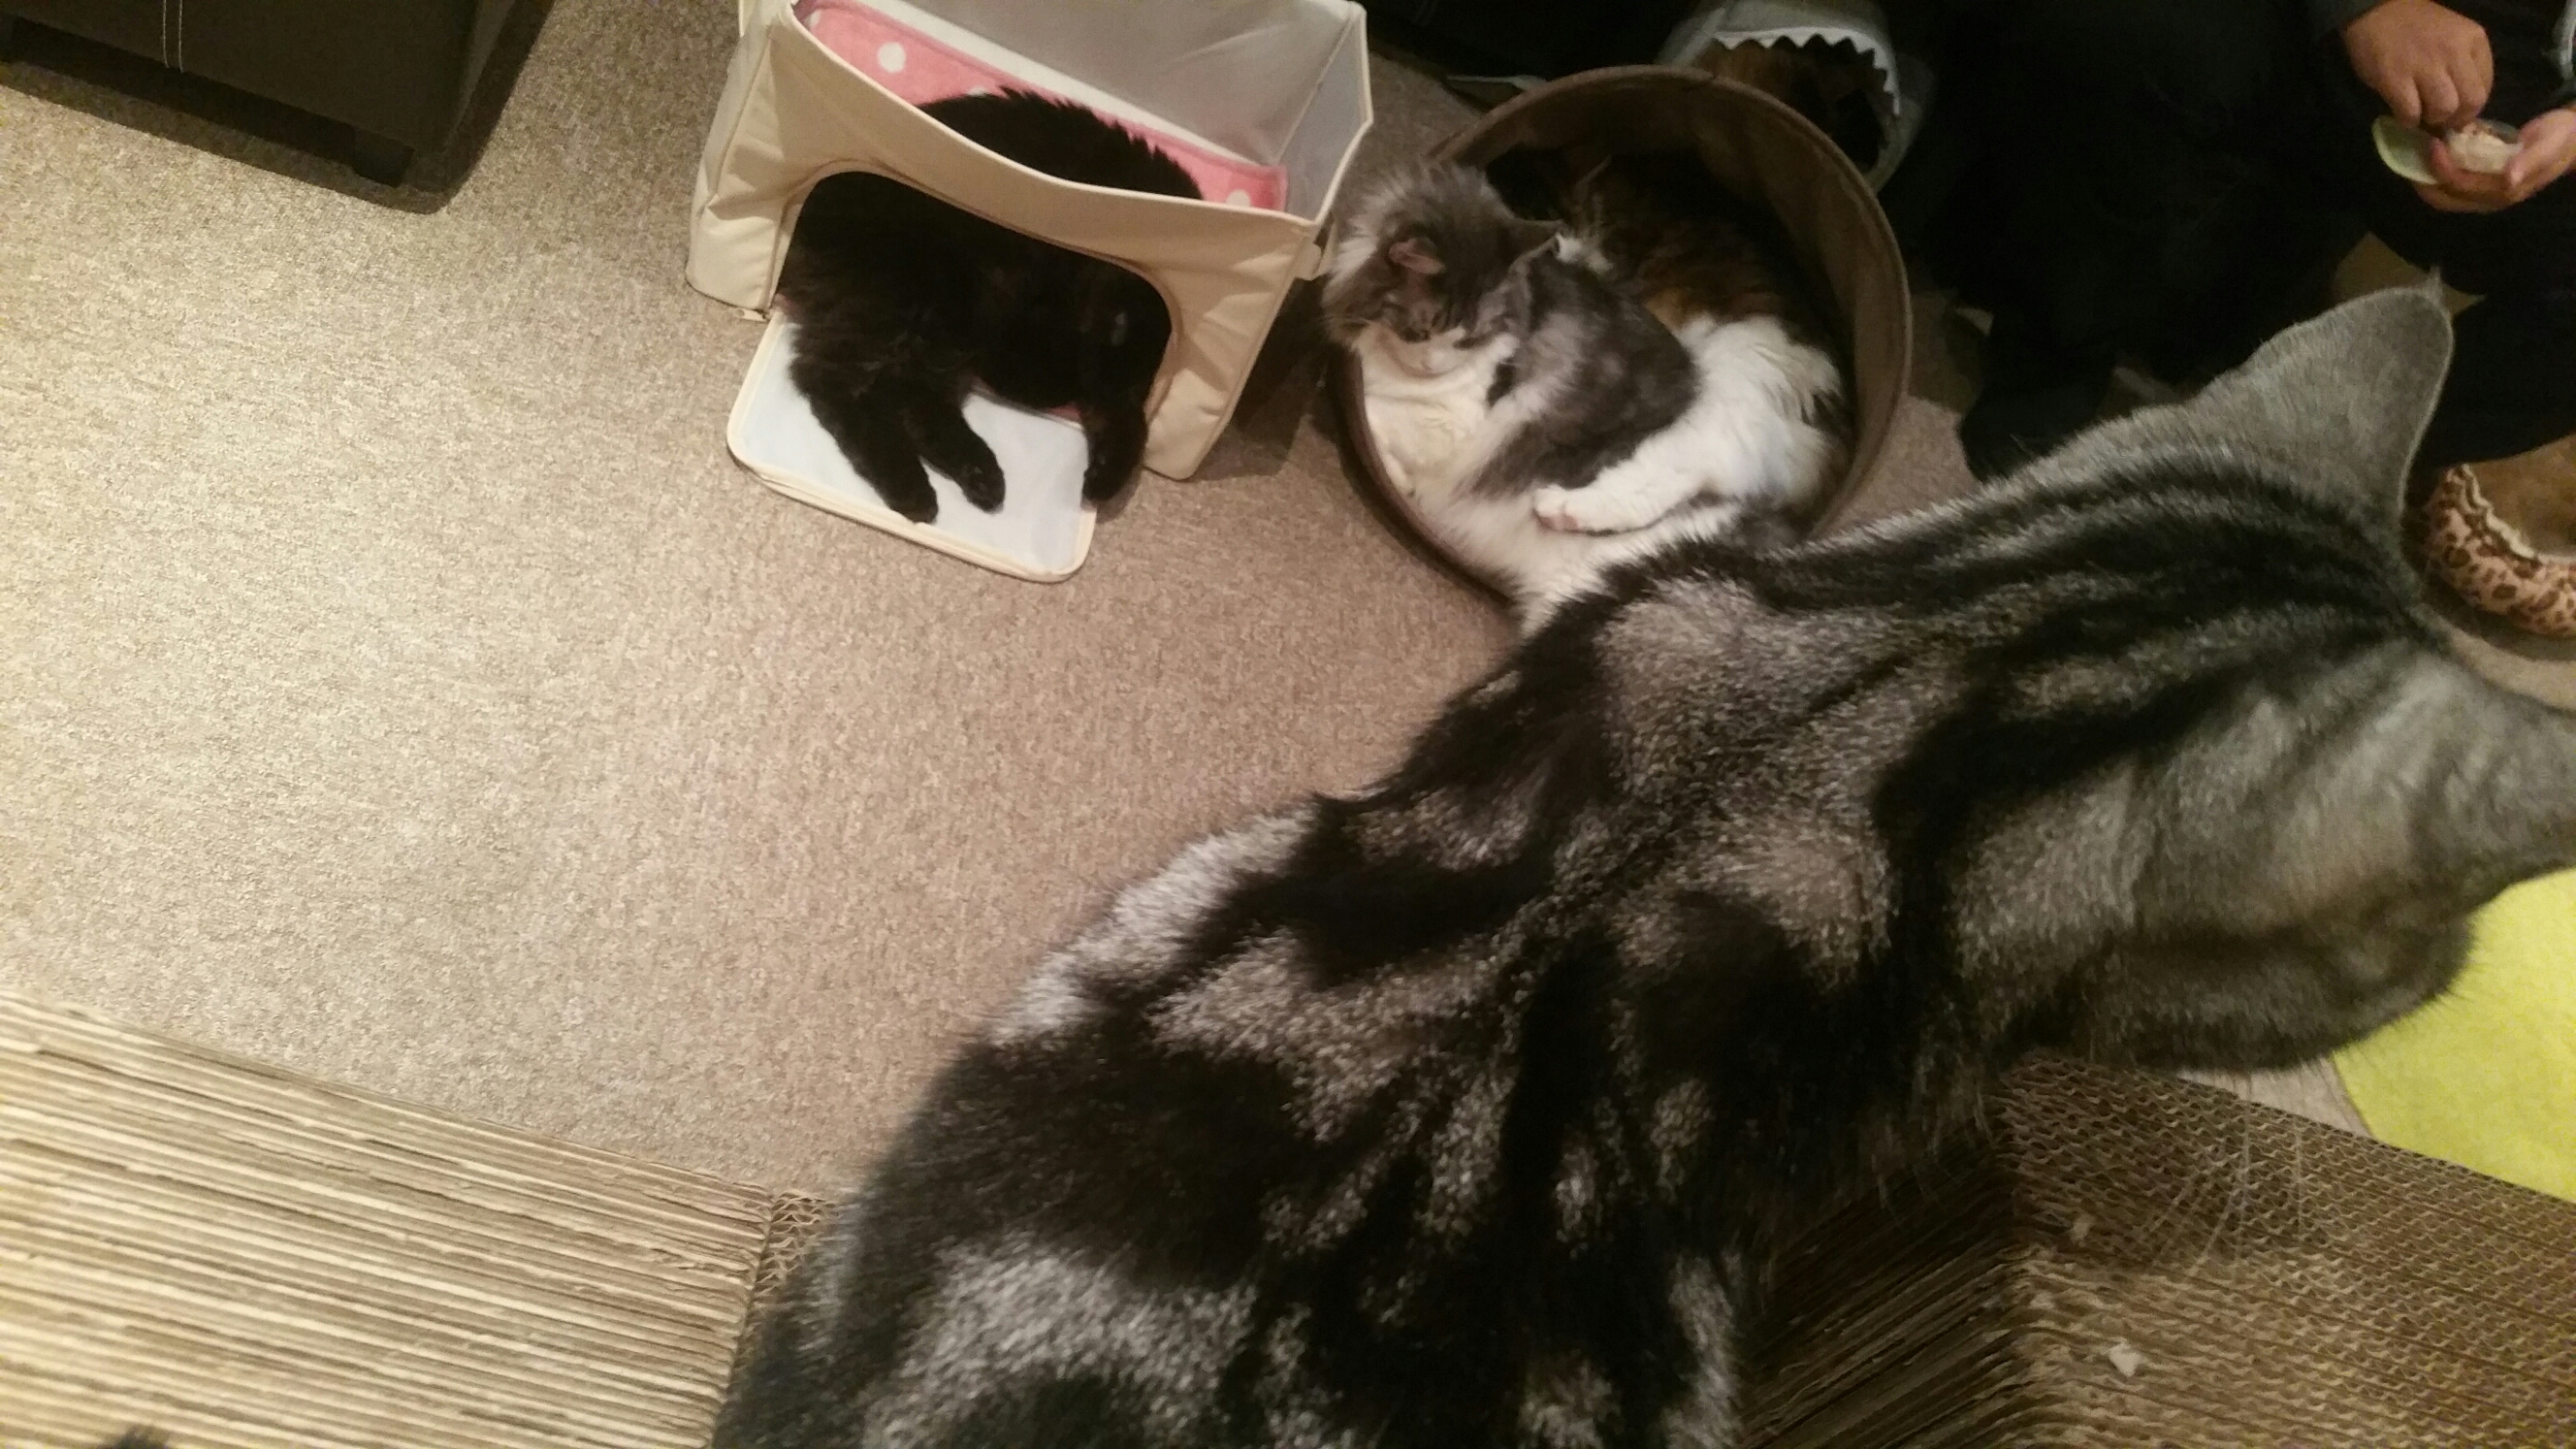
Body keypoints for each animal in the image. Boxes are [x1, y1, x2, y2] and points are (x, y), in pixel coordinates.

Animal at [776, 91, 1197, 524]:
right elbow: (1124, 413)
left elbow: (1129, 421)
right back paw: (915, 491)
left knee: (909, 397)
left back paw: (979, 477)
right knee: (830, 379)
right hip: (915, 302)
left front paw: (1102, 478)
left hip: (938, 327)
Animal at [1326, 163, 1843, 616]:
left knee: (1675, 468)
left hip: (1718, 396)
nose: (1433, 367)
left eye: (1469, 338)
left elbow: (1380, 413)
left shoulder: (1453, 418)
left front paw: (1396, 472)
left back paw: (1564, 508)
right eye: (1423, 331)